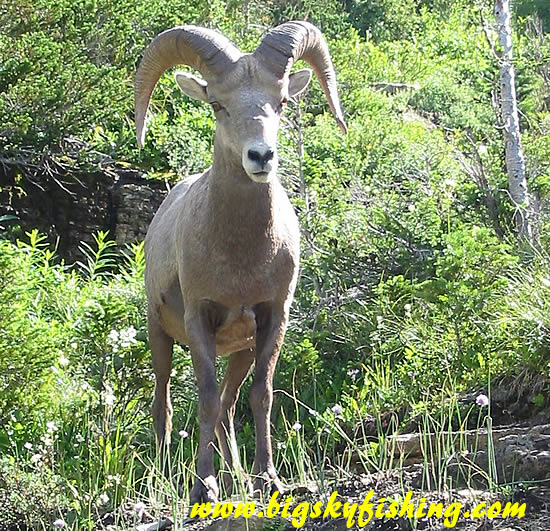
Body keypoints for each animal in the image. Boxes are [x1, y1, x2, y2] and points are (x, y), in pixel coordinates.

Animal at [136, 19, 348, 502]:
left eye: (282, 100)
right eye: (217, 104)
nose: (261, 157)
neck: (241, 258)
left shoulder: (271, 320)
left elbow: (260, 396)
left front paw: (267, 478)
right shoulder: (199, 319)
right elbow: (205, 398)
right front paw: (204, 487)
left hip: (239, 352)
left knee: (231, 406)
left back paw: (237, 476)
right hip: (159, 334)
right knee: (165, 402)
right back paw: (165, 474)